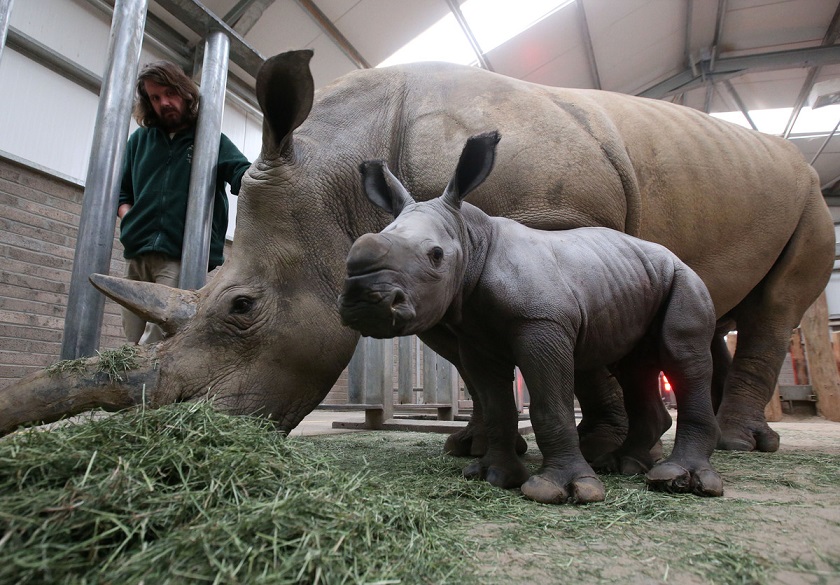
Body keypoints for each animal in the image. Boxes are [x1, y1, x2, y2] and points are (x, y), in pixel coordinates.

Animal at [338, 131, 720, 502]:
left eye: (436, 255)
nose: (363, 301)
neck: (473, 242)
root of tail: (671, 255)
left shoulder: (542, 324)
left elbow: (551, 407)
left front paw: (562, 490)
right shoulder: (477, 341)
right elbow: (496, 407)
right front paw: (492, 476)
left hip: (684, 278)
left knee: (682, 357)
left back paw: (679, 481)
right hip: (633, 279)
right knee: (633, 366)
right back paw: (624, 465)